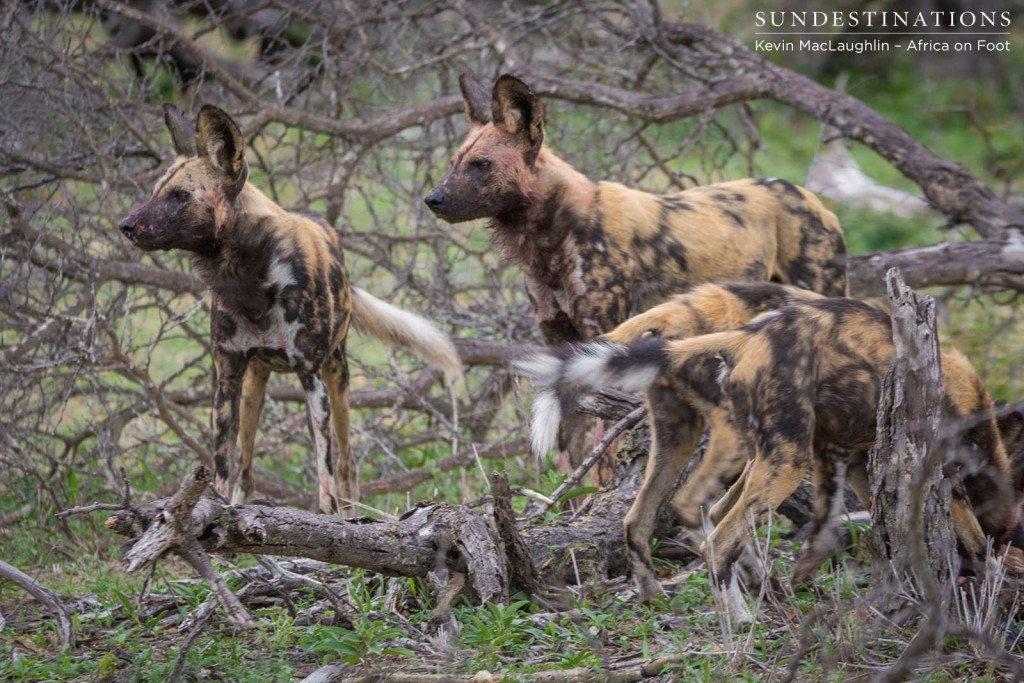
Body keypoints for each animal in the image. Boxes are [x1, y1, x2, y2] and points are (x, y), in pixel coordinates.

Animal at [115, 105, 460, 511]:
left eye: (180, 195)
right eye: (157, 191)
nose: (125, 225)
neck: (248, 279)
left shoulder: (312, 380)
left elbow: (325, 476)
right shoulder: (227, 380)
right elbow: (221, 469)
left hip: (338, 381)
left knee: (346, 464)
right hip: (253, 389)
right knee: (245, 470)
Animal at [423, 73, 847, 471]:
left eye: (482, 165)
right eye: (454, 162)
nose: (432, 199)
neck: (552, 238)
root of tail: (808, 197)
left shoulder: (604, 338)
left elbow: (603, 447)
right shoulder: (559, 343)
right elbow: (568, 444)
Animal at [524, 290, 1019, 606]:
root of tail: (747, 337)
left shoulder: (851, 462)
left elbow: (832, 528)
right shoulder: (942, 476)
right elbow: (967, 534)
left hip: (694, 441)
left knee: (647, 519)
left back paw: (666, 595)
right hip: (775, 459)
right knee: (715, 533)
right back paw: (742, 620)